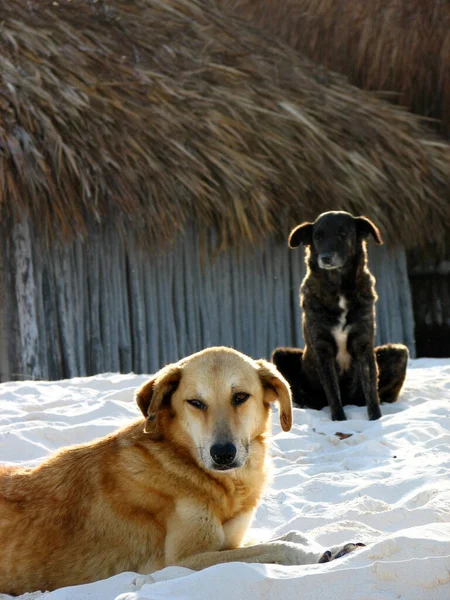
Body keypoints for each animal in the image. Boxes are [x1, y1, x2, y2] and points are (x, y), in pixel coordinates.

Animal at [272, 211, 410, 422]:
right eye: (318, 236)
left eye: (343, 233)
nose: (326, 258)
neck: (338, 288)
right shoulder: (322, 348)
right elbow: (333, 392)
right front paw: (339, 421)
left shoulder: (363, 344)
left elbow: (371, 390)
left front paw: (375, 419)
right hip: (280, 355)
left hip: (399, 351)